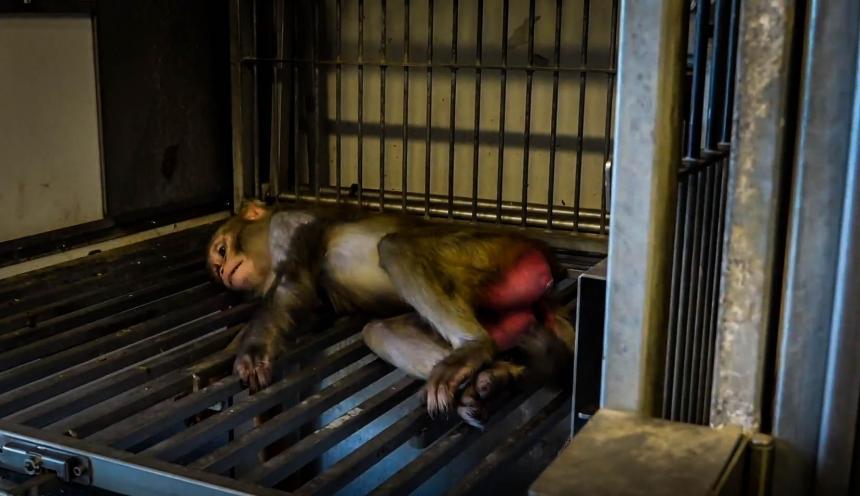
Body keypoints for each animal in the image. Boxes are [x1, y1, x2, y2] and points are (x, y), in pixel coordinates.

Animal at [207, 200, 574, 428]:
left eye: (222, 250)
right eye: (216, 266)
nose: (222, 272)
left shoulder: (289, 225)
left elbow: (292, 285)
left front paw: (254, 352)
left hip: (489, 252)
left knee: (398, 247)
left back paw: (473, 347)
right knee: (378, 332)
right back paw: (493, 377)